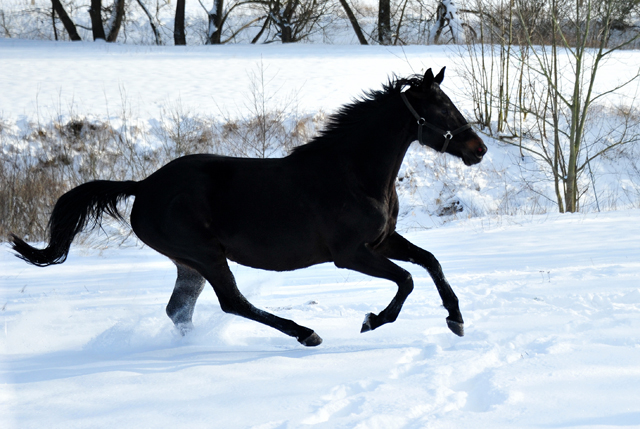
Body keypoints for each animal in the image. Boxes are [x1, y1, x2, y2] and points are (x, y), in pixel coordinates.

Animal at [11, 68, 484, 346]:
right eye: (441, 107)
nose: (477, 149)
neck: (355, 174)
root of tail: (143, 186)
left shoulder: (382, 241)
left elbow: (431, 262)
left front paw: (456, 320)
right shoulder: (350, 254)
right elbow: (406, 279)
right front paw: (373, 320)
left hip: (189, 263)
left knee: (180, 310)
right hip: (206, 255)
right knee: (232, 302)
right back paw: (305, 334)